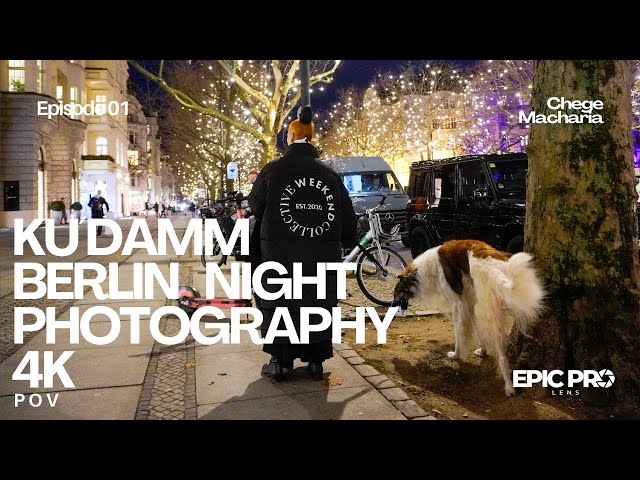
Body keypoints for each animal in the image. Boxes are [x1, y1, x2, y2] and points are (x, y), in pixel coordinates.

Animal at [396, 239, 544, 394]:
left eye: (399, 292)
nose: (393, 304)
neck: (426, 270)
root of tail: (489, 259)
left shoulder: (458, 304)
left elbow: (459, 334)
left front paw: (456, 355)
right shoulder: (470, 304)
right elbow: (477, 331)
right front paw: (482, 351)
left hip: (488, 312)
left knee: (502, 356)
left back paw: (509, 387)